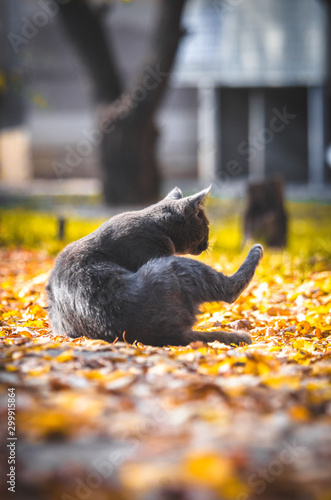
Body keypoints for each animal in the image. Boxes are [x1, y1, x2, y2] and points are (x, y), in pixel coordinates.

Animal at [47, 188, 264, 348]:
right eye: (207, 225)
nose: (207, 244)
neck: (157, 225)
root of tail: (169, 335)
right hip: (175, 265)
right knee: (229, 290)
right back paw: (256, 250)